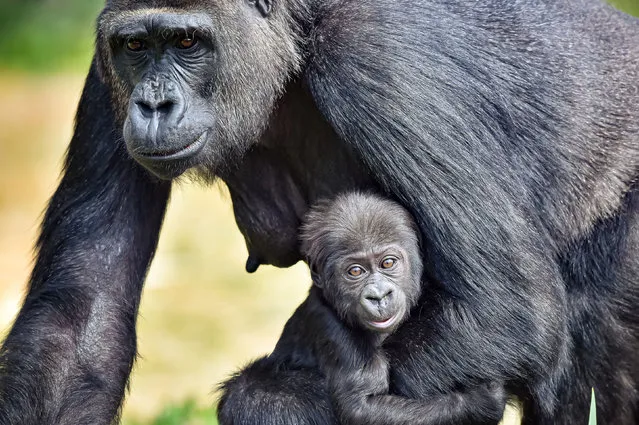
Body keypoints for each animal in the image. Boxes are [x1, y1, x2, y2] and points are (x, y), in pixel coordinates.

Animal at [298, 194, 508, 424]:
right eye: (355, 271)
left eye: (388, 263)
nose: (379, 296)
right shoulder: (329, 324)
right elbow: (362, 406)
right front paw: (482, 400)